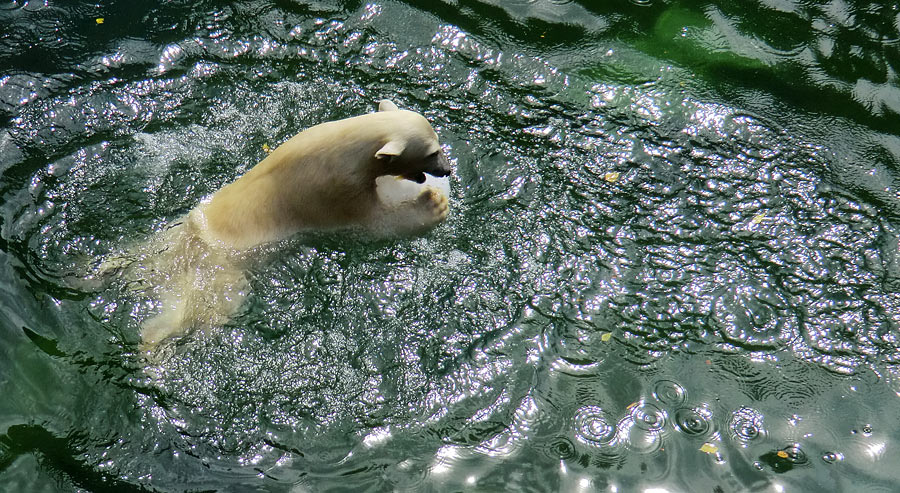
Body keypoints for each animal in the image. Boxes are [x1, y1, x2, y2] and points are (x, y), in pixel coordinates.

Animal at [110, 98, 450, 348]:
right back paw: (153, 344)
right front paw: (433, 204)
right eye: (432, 151)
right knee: (200, 311)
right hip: (218, 275)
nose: (446, 170)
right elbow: (375, 223)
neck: (339, 147)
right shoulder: (334, 194)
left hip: (167, 239)